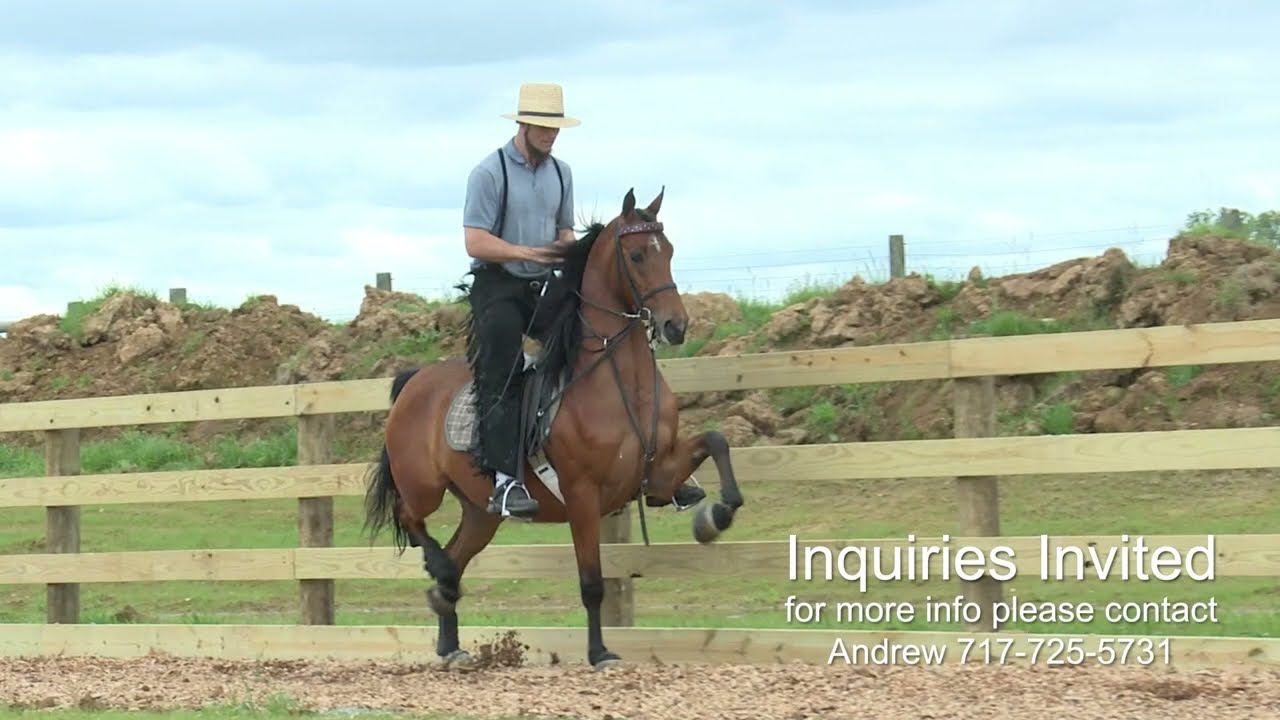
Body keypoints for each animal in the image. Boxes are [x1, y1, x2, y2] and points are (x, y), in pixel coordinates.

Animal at [361, 186, 746, 670]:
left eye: (670, 251)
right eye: (637, 254)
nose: (675, 325)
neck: (621, 384)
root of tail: (414, 382)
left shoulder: (656, 474)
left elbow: (717, 441)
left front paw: (714, 517)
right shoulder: (582, 494)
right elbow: (592, 582)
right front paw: (599, 652)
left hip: (481, 513)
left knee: (455, 553)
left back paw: (450, 637)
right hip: (423, 486)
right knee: (411, 520)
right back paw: (442, 581)